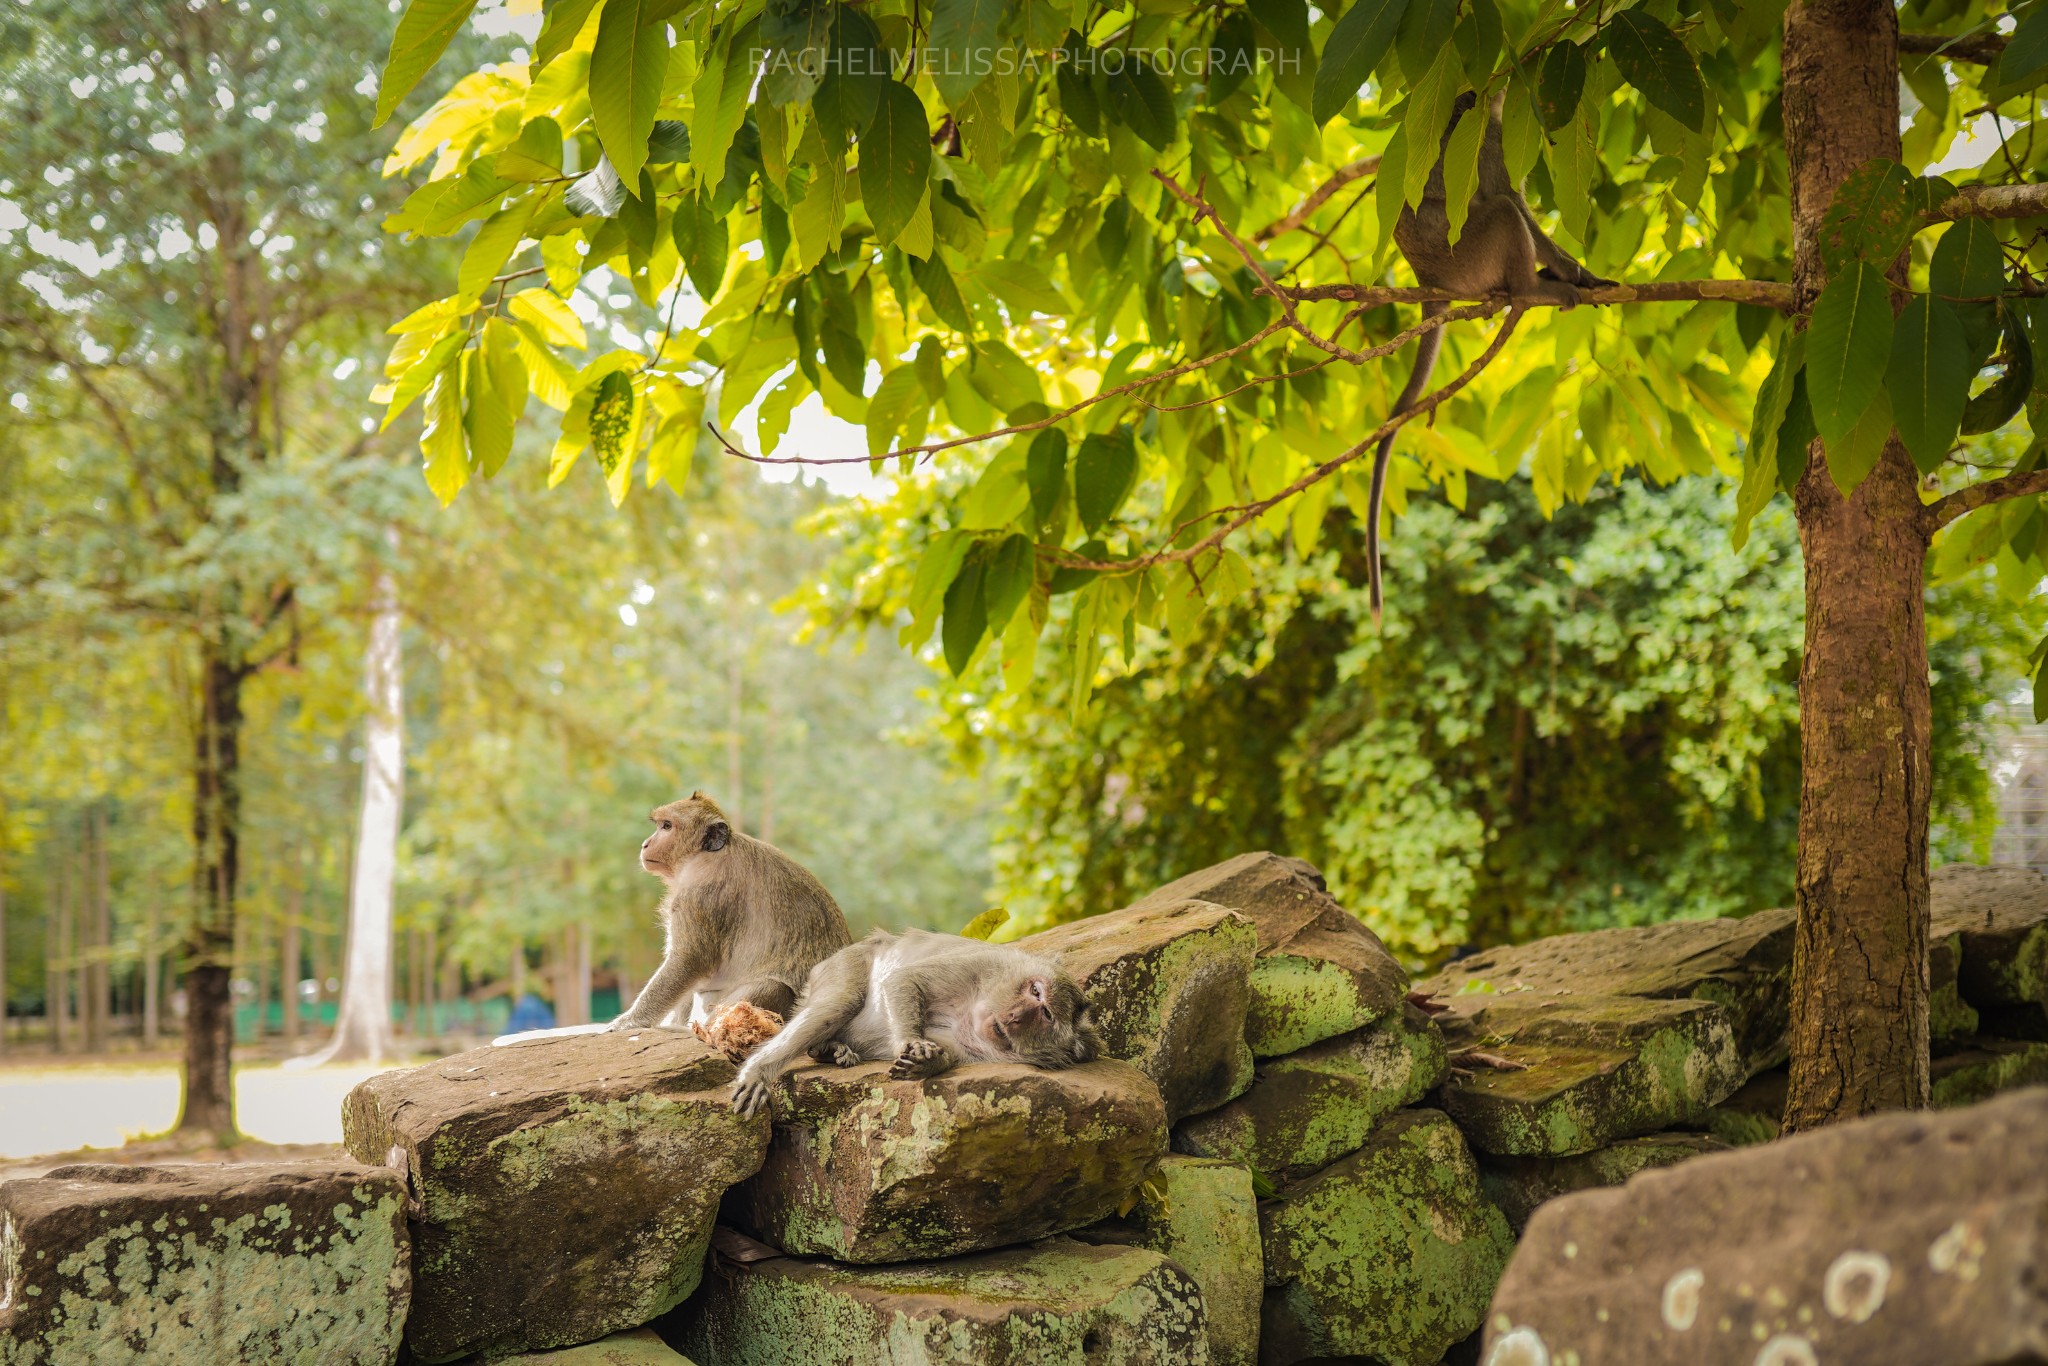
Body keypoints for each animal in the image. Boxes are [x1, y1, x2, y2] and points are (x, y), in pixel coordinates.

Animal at [614, 786, 856, 1056]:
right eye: (659, 825)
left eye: (667, 826)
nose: (645, 844)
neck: (705, 856)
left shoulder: (701, 897)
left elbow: (687, 960)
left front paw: (628, 1022)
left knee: (772, 987)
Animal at [729, 925, 1097, 1114]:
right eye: (1035, 991)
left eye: (1046, 1014)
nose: (1019, 1016)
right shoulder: (980, 963)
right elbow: (905, 980)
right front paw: (911, 1043)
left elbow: (946, 1051)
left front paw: (926, 1064)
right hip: (845, 963)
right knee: (840, 1001)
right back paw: (759, 1070)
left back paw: (828, 1050)